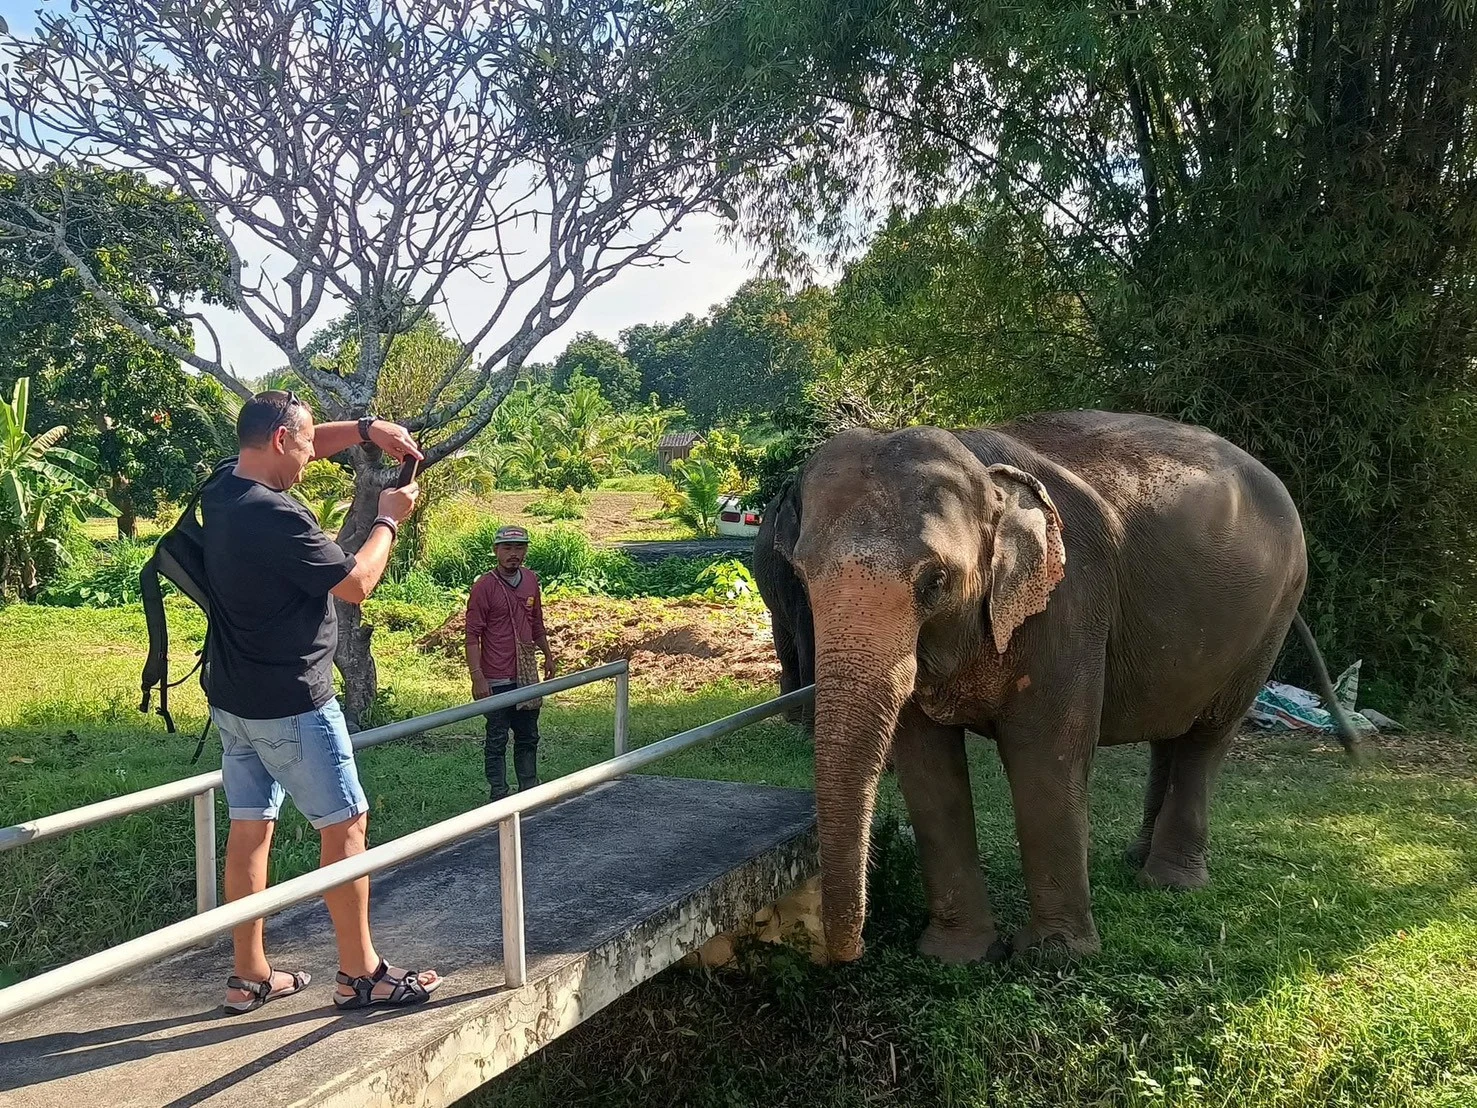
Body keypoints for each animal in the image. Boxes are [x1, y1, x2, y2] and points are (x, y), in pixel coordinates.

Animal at [770, 409, 1360, 966]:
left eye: (934, 582)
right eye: (800, 574)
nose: (848, 950)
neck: (983, 470)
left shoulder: (1070, 602)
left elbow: (1045, 753)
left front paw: (1054, 956)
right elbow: (927, 767)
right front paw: (958, 956)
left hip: (1271, 619)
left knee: (1207, 735)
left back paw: (1170, 882)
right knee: (1169, 730)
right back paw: (1136, 859)